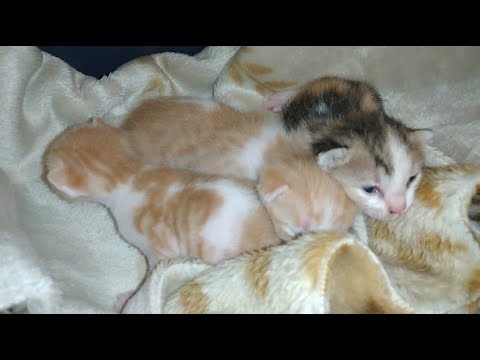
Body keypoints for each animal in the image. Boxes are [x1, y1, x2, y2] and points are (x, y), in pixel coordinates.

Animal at [264, 76, 434, 221]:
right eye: (370, 189)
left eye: (411, 179)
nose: (399, 209)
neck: (343, 122)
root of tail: (344, 82)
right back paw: (280, 98)